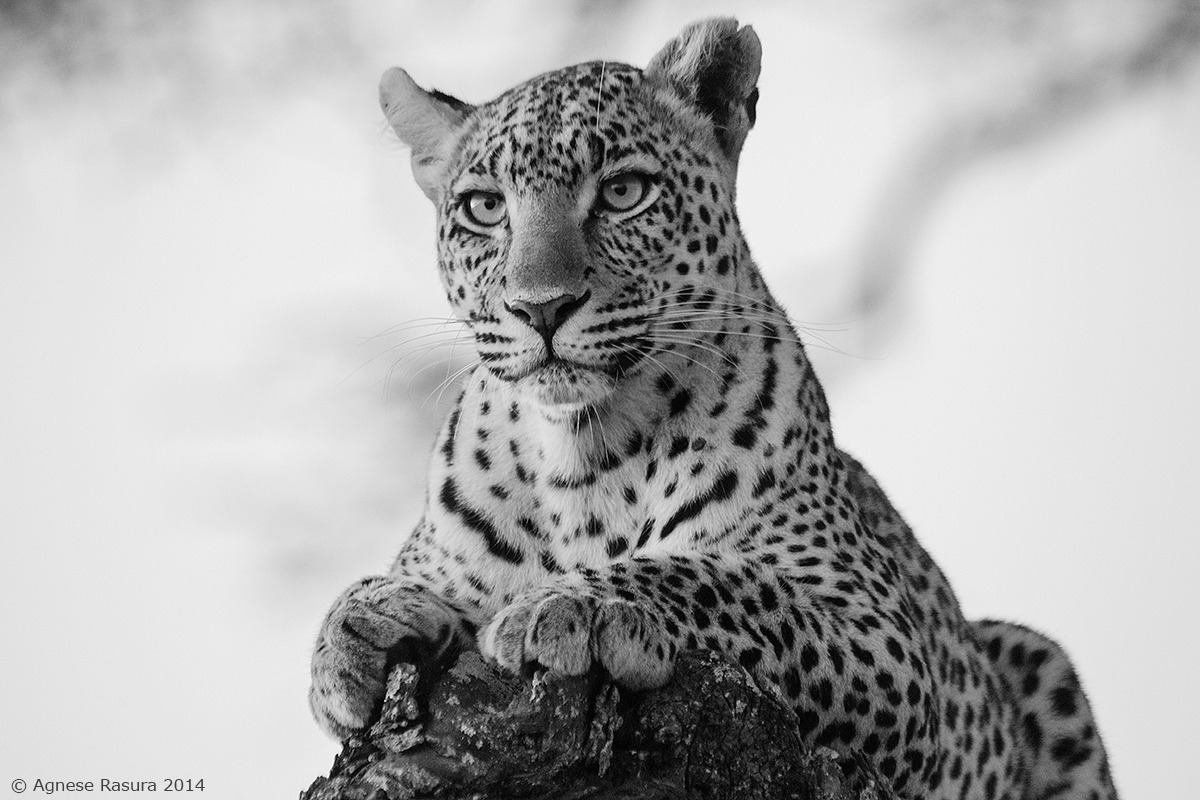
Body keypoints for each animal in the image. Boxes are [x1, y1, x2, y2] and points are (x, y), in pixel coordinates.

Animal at [309, 18, 1118, 800]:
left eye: (624, 191)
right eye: (484, 208)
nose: (540, 308)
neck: (582, 456)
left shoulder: (886, 643)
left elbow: (725, 579)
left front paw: (572, 606)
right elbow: (369, 598)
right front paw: (358, 631)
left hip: (1039, 661)